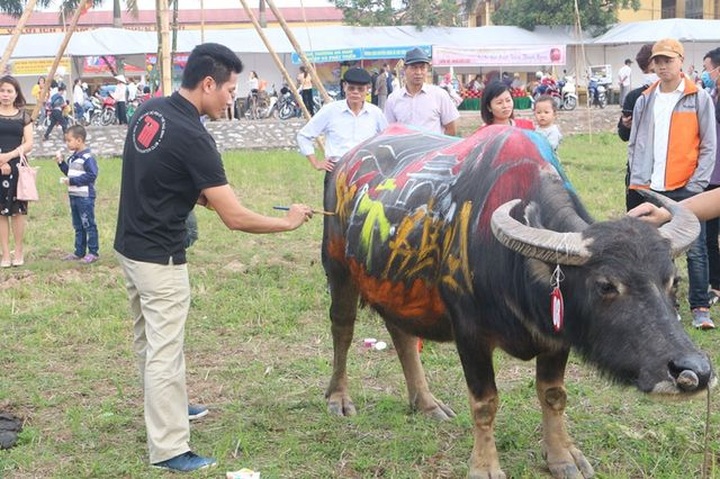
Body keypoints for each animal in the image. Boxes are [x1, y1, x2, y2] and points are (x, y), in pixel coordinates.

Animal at [321, 124, 714, 478]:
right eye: (606, 285)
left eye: (673, 281)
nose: (693, 370)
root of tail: (343, 164)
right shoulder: (470, 334)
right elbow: (485, 402)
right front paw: (484, 465)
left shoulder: (557, 337)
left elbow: (554, 395)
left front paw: (562, 457)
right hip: (338, 269)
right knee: (342, 329)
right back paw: (338, 398)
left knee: (401, 334)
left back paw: (427, 403)